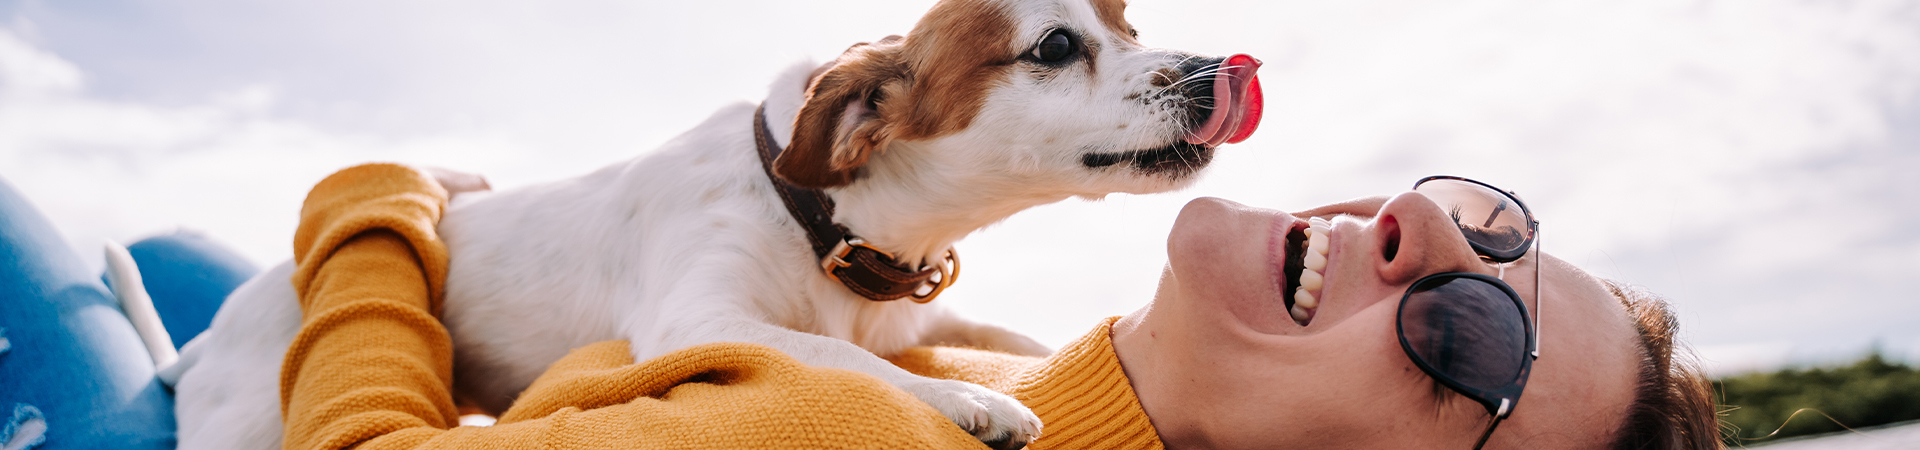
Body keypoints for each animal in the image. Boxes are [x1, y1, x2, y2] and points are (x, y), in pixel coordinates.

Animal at [157, 0, 1267, 448]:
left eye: (1127, 24)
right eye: (1055, 46)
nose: (1221, 66)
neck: (827, 228)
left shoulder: (924, 314)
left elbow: (1005, 336)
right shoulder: (700, 319)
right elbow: (841, 361)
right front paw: (969, 402)